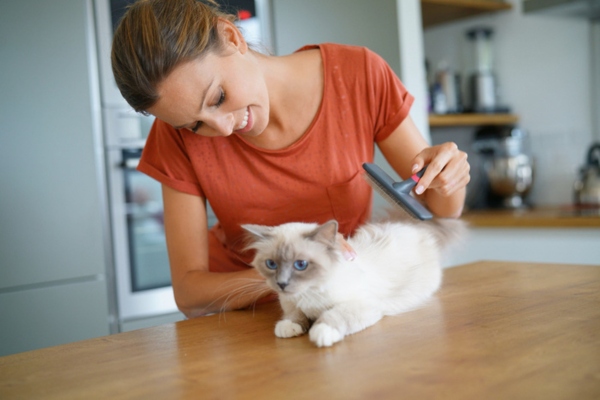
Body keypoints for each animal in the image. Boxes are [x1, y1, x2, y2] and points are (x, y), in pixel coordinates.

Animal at [241, 216, 466, 346]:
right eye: (271, 264)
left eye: (301, 264)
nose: (281, 284)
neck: (309, 293)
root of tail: (416, 227)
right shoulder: (291, 304)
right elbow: (294, 316)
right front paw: (289, 328)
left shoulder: (363, 306)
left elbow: (334, 316)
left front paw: (321, 332)